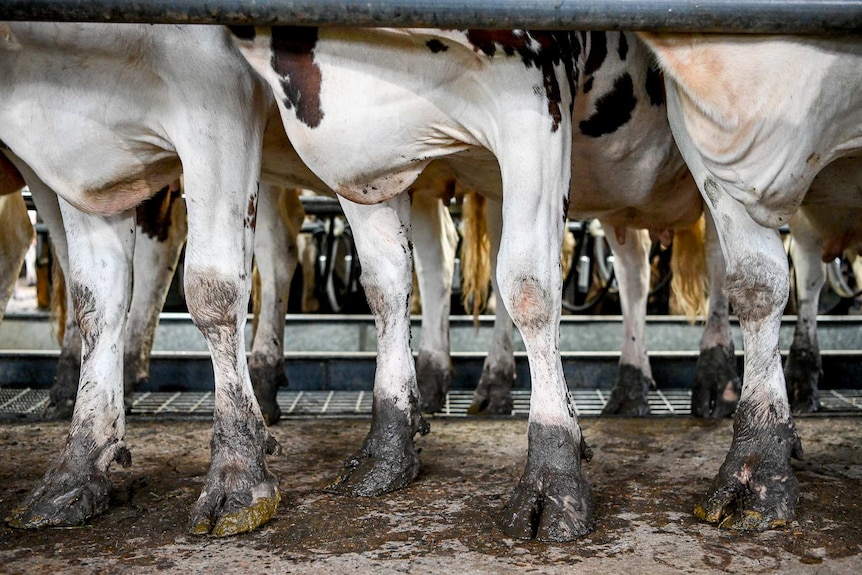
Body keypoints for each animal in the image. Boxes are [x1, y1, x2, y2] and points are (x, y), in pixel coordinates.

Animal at [0, 22, 280, 536]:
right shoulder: (79, 154)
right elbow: (94, 300)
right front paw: (75, 469)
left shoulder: (219, 89)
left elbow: (212, 291)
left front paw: (238, 472)